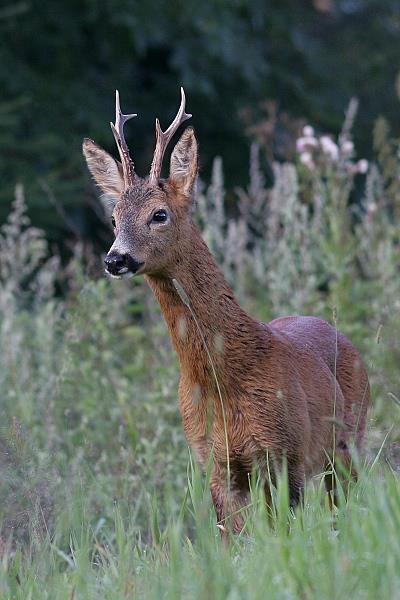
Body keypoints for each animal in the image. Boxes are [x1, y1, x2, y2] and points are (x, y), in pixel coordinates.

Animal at [83, 88, 370, 536]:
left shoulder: (285, 453)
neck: (222, 380)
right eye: (114, 218)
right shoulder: (214, 464)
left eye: (159, 214)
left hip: (349, 438)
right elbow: (233, 541)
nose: (115, 260)